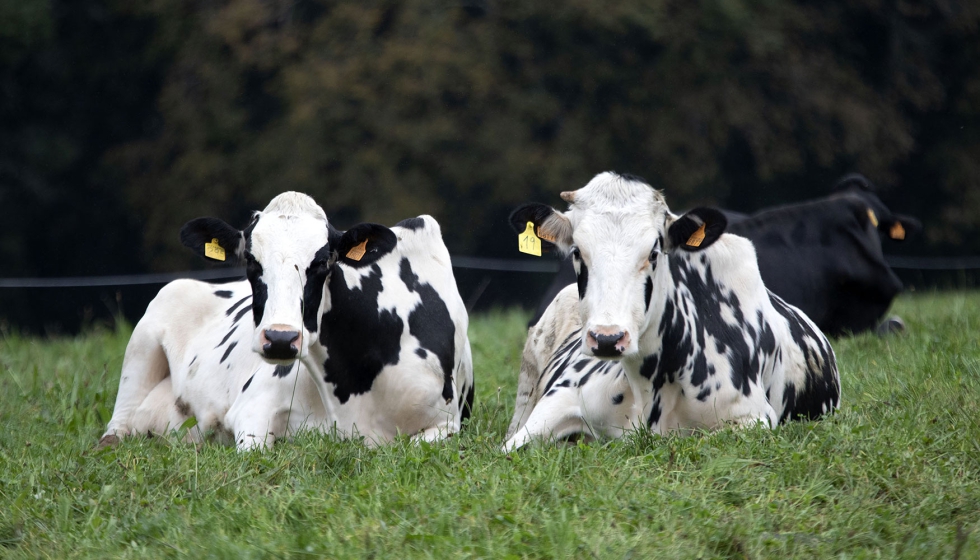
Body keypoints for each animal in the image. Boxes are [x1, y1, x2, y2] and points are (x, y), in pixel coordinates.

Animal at [97, 192, 472, 450]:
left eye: (322, 261)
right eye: (250, 260)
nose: (279, 339)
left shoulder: (448, 423)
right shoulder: (252, 409)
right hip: (143, 341)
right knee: (116, 429)